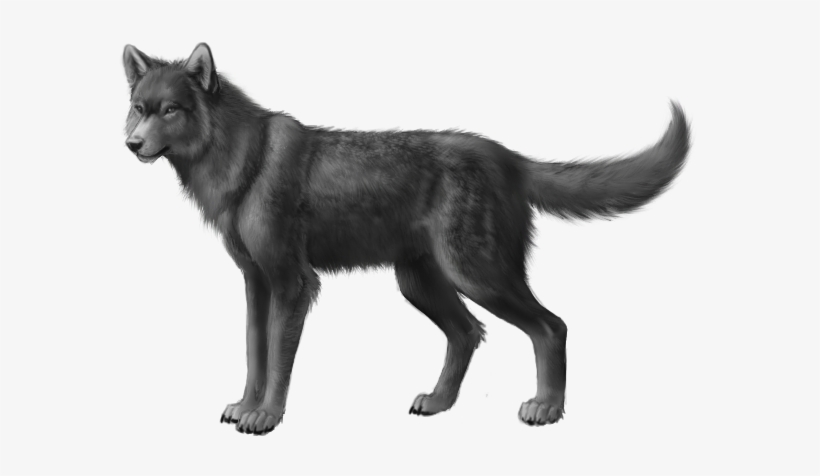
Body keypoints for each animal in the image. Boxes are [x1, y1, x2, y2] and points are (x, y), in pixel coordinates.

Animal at [123, 43, 689, 435]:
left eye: (170, 109)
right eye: (138, 108)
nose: (131, 144)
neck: (244, 162)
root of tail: (507, 156)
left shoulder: (293, 284)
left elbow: (279, 364)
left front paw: (266, 416)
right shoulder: (256, 282)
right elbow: (253, 354)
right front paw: (246, 406)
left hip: (476, 276)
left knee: (551, 327)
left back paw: (546, 407)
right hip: (419, 283)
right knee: (469, 333)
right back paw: (439, 403)